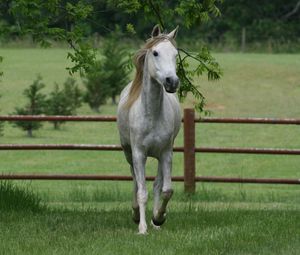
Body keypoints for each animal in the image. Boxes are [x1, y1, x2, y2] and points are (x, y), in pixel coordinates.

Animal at [117, 24, 180, 234]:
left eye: (175, 54)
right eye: (155, 52)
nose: (172, 82)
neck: (151, 115)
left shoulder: (166, 153)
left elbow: (166, 189)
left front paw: (158, 218)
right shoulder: (139, 154)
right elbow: (142, 191)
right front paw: (142, 228)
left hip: (160, 156)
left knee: (157, 185)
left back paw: (155, 223)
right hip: (129, 154)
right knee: (135, 182)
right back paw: (136, 214)